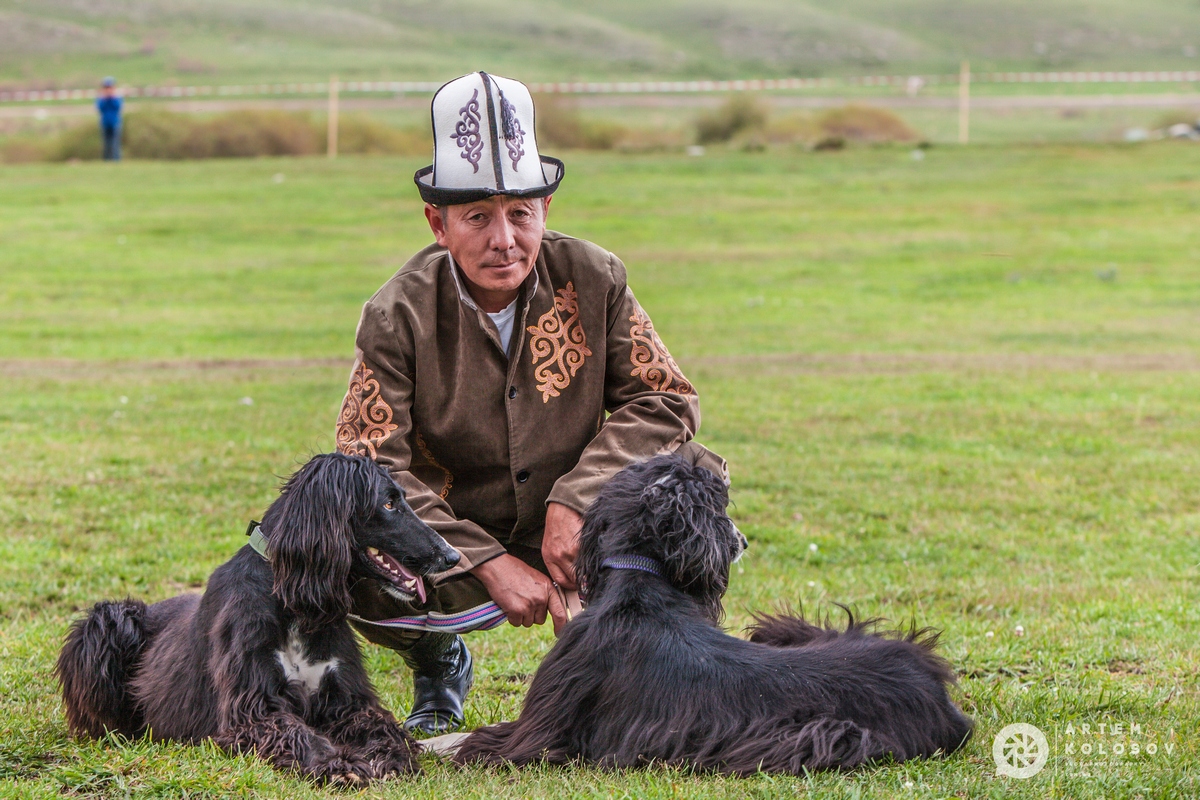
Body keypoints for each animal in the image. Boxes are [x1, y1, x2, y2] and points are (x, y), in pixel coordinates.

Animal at [55, 453, 458, 786]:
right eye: (388, 503)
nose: (451, 556)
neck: (292, 606)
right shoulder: (254, 708)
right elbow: (299, 735)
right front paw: (339, 765)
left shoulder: (346, 700)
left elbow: (382, 728)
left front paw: (391, 757)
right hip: (109, 620)